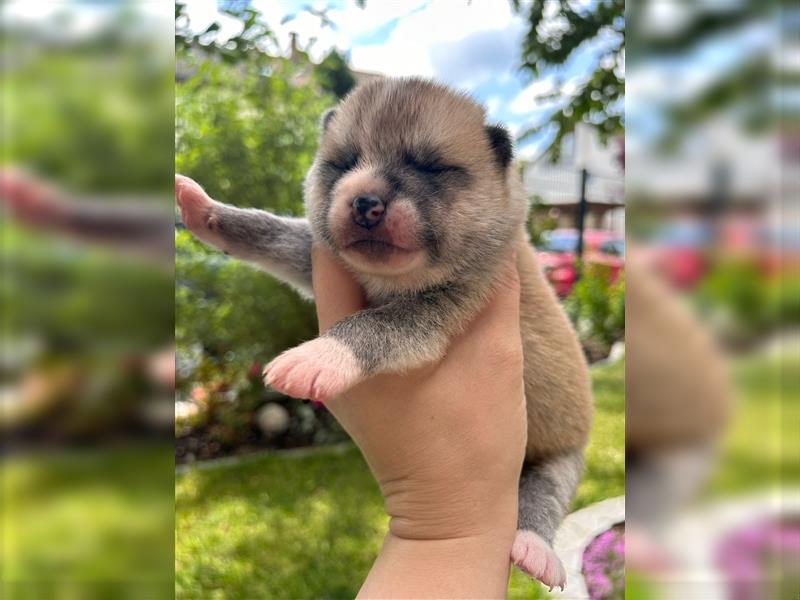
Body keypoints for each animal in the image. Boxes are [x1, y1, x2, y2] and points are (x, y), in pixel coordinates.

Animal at [177, 77, 592, 588]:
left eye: (431, 166)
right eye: (344, 162)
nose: (364, 202)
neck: (393, 280)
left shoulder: (444, 306)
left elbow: (377, 324)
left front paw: (318, 356)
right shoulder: (314, 257)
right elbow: (273, 235)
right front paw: (207, 212)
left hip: (560, 460)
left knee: (541, 499)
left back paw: (537, 548)